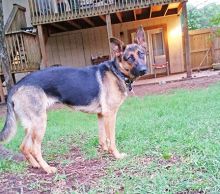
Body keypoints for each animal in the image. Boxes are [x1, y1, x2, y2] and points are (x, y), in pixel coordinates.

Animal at [0, 25, 148, 173]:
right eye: (129, 58)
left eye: (141, 54)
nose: (144, 70)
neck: (117, 71)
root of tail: (16, 86)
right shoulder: (110, 115)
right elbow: (111, 138)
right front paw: (116, 155)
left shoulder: (101, 115)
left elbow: (102, 138)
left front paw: (105, 151)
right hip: (40, 123)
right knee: (35, 148)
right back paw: (47, 168)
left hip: (30, 126)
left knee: (23, 146)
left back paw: (35, 164)